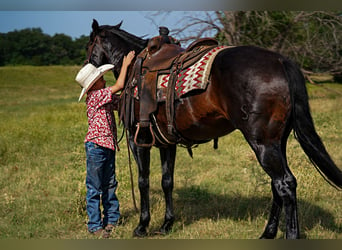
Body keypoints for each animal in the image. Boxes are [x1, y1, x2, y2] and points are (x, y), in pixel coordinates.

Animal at [85, 19, 342, 238]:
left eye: (89, 45)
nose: (88, 66)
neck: (133, 68)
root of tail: (281, 61)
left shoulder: (138, 140)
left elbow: (143, 181)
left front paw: (142, 226)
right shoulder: (167, 143)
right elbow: (167, 181)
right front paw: (167, 224)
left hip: (263, 144)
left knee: (285, 184)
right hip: (278, 143)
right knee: (276, 185)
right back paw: (267, 233)